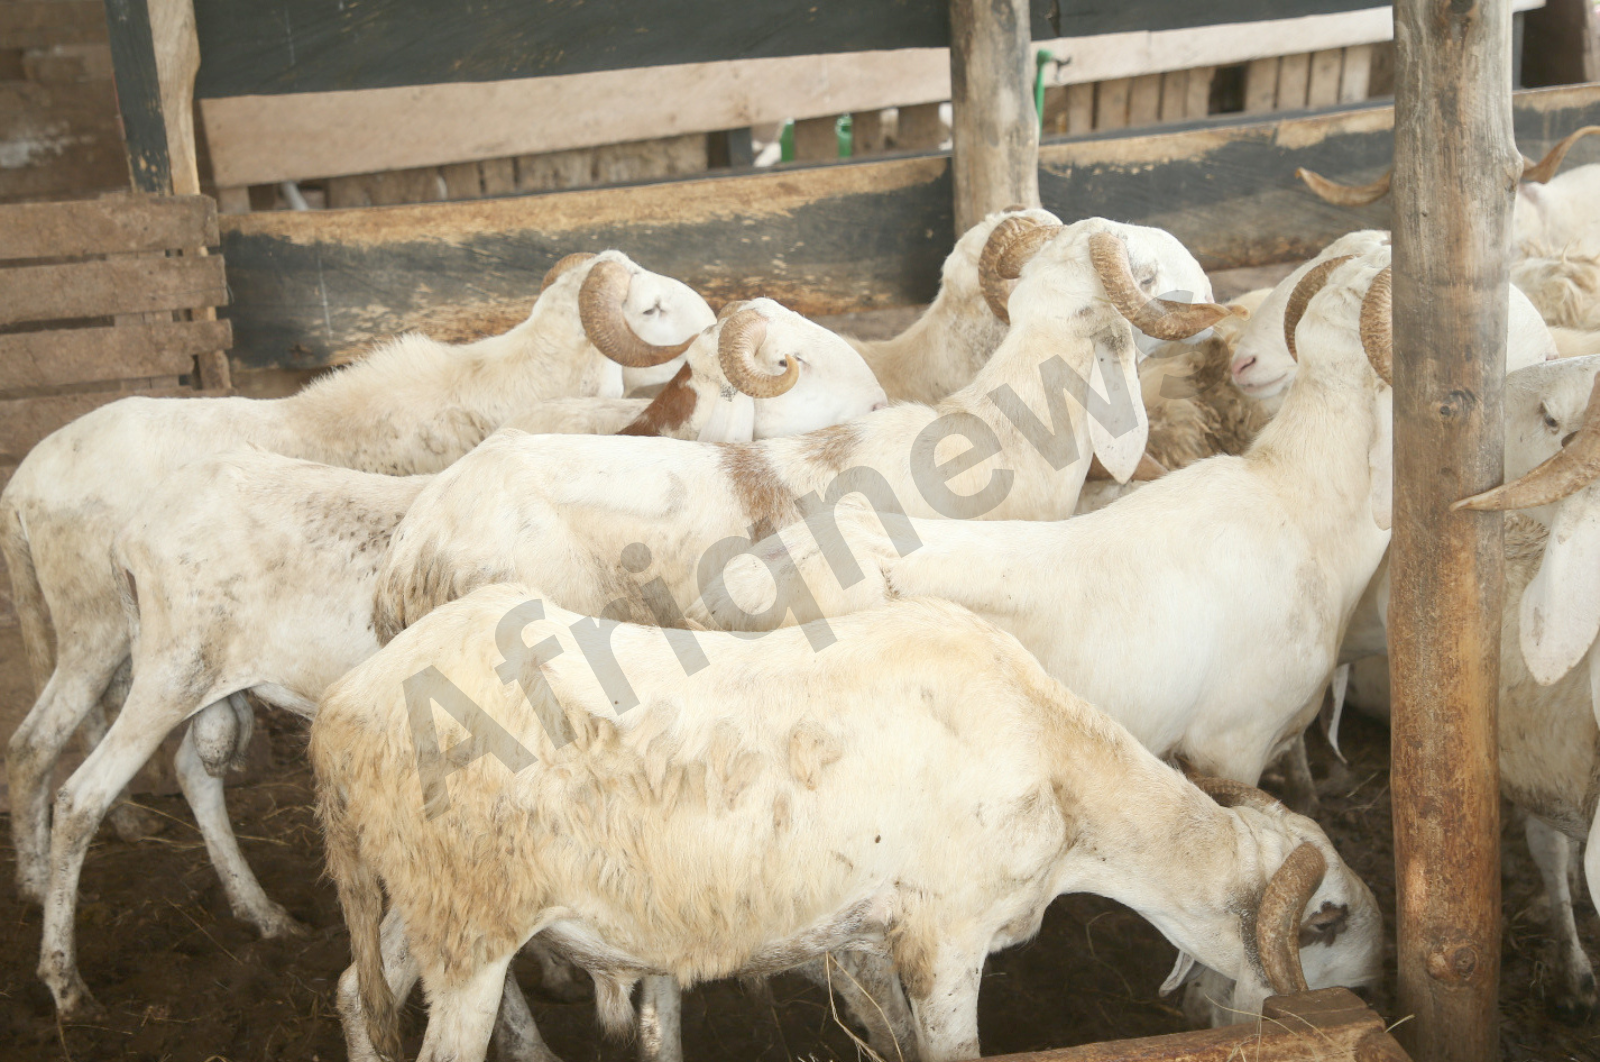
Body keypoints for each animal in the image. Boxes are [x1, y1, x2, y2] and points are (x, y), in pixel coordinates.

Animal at [1, 249, 715, 908]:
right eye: (651, 308)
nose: (713, 323)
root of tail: (24, 479)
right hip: (95, 628)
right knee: (36, 747)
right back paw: (38, 887)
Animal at [27, 297, 887, 1020]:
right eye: (797, 359)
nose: (882, 401)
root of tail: (135, 532)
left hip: (201, 679)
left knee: (191, 773)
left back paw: (261, 913)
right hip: (158, 667)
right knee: (74, 792)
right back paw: (65, 979)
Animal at [312, 583, 1382, 1062]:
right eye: (1327, 920)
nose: (1378, 980)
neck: (1062, 777)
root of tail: (343, 713)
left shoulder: (871, 934)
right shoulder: (947, 938)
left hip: (418, 902)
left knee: (354, 993)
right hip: (473, 926)